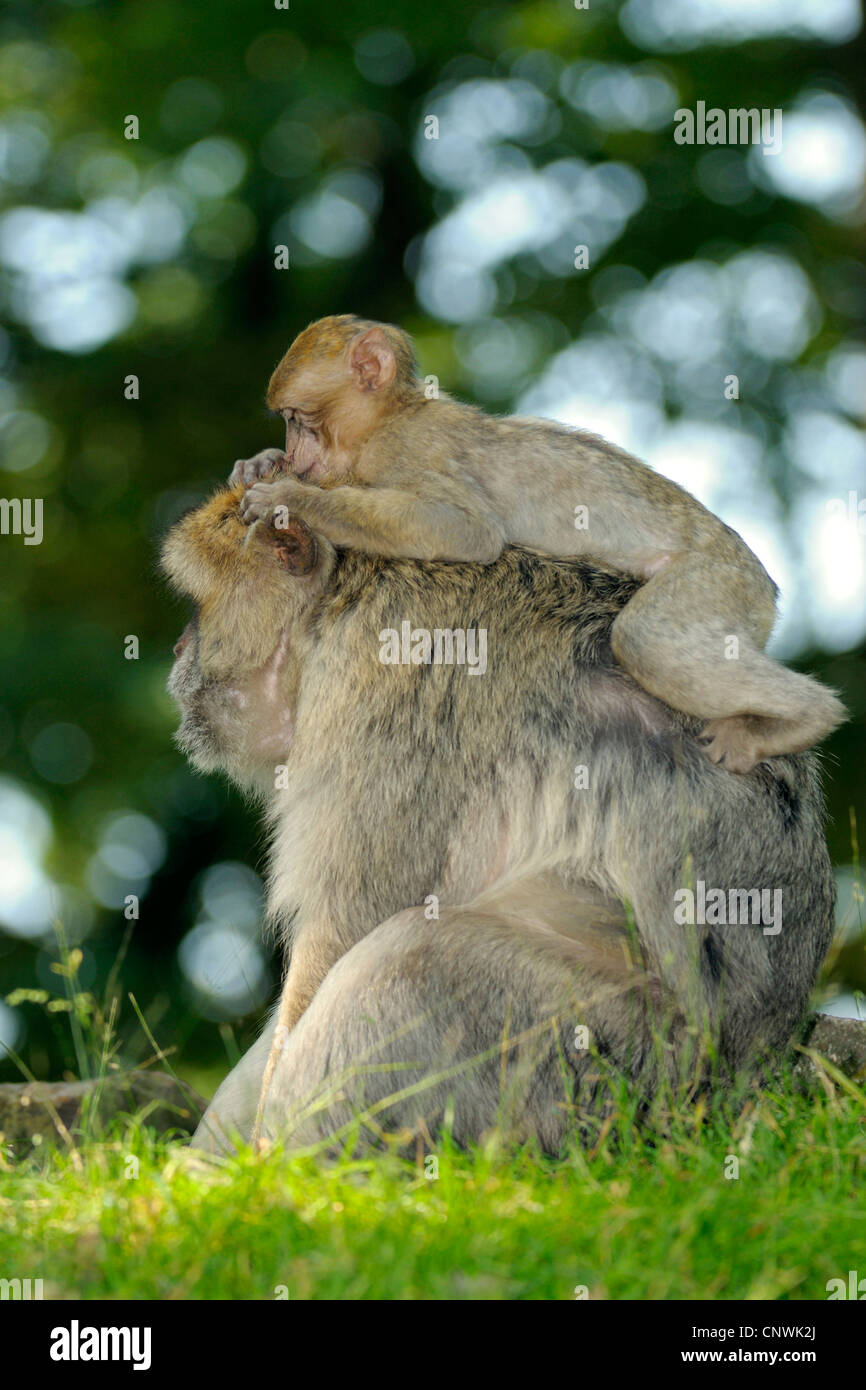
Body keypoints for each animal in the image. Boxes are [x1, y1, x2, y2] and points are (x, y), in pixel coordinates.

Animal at [233, 312, 845, 772]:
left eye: (299, 419)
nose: (296, 452)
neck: (390, 420)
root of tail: (763, 584)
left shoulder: (409, 449)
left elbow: (469, 530)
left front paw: (291, 498)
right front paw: (260, 464)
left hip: (717, 581)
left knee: (647, 639)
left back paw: (805, 717)